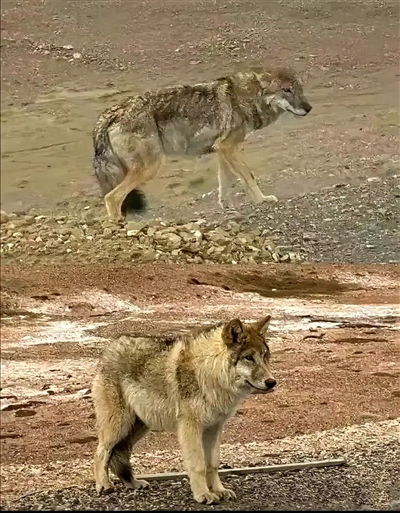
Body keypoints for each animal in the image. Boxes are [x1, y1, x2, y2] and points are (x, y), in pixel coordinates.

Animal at [92, 67, 310, 219]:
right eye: (286, 90)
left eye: (300, 89)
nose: (309, 108)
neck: (245, 97)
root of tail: (108, 115)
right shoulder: (230, 147)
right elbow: (249, 177)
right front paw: (262, 200)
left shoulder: (223, 150)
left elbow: (225, 182)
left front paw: (228, 207)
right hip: (149, 168)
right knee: (111, 198)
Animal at [92, 314, 276, 502]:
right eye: (249, 358)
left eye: (264, 356)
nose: (272, 382)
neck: (208, 372)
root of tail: (110, 347)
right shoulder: (190, 426)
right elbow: (199, 465)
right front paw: (203, 494)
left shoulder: (214, 428)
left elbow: (212, 464)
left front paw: (219, 490)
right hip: (118, 426)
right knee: (100, 452)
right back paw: (104, 485)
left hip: (139, 427)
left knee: (120, 453)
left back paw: (134, 483)